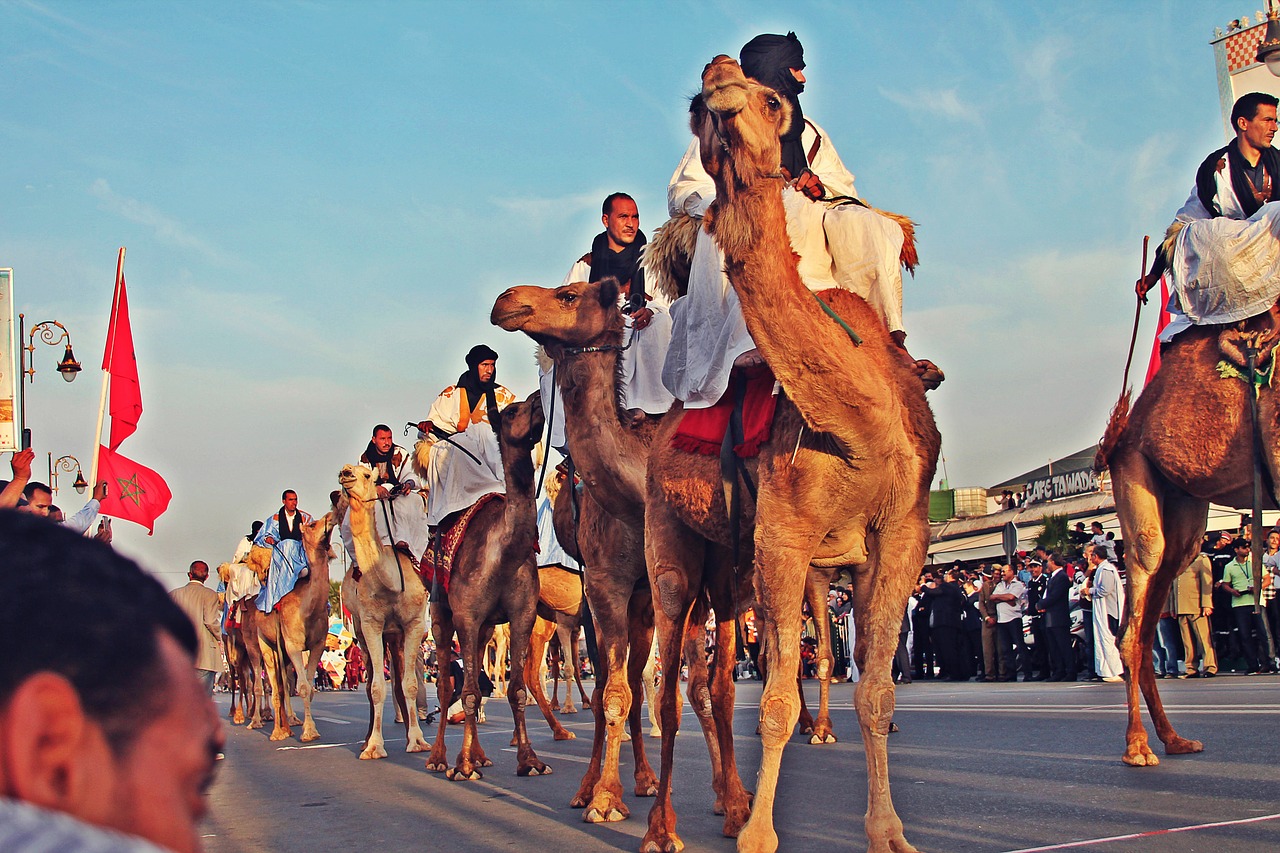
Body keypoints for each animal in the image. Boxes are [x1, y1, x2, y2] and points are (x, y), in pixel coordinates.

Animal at [252, 512, 335, 737]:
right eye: (313, 525)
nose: (331, 515)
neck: (307, 608)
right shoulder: (293, 646)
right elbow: (303, 687)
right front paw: (309, 732)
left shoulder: (318, 645)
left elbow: (309, 687)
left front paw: (307, 727)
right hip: (264, 642)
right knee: (272, 683)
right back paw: (273, 730)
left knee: (282, 682)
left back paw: (289, 721)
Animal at [337, 466, 432, 758]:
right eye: (351, 469)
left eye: (367, 475)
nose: (346, 473)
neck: (390, 583)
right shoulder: (370, 624)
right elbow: (376, 686)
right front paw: (374, 746)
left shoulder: (414, 623)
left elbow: (410, 684)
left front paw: (418, 741)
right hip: (364, 632)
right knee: (370, 681)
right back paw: (368, 737)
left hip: (397, 636)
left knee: (401, 678)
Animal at [424, 391, 555, 778]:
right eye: (511, 412)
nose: (539, 398)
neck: (505, 552)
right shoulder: (466, 615)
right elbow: (465, 691)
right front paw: (463, 767)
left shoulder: (522, 614)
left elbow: (516, 689)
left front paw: (530, 761)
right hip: (441, 612)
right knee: (445, 685)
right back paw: (440, 758)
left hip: (484, 628)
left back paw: (479, 755)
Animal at [632, 56, 942, 845]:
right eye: (697, 105)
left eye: (773, 100)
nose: (720, 98)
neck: (859, 427)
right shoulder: (782, 532)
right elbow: (774, 700)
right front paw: (759, 836)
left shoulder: (901, 532)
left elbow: (877, 690)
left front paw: (889, 831)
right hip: (668, 533)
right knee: (666, 681)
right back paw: (662, 826)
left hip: (728, 563)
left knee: (707, 676)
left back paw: (723, 802)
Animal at [1090, 292, 1280, 763]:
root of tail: (1116, 437)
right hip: (1135, 476)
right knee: (1133, 624)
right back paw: (1138, 746)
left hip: (1186, 515)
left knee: (1147, 627)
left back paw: (1172, 738)